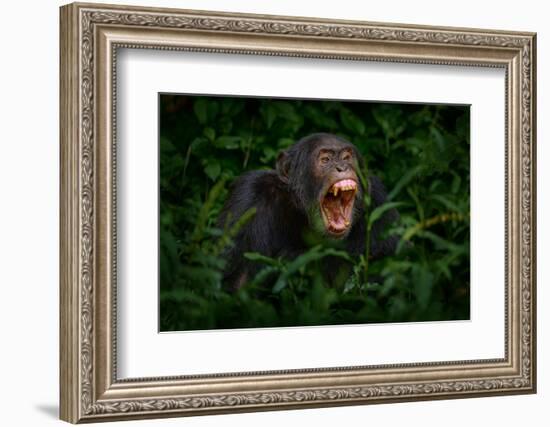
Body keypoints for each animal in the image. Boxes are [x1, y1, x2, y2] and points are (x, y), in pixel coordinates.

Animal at [218, 132, 398, 290]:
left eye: (347, 157)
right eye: (325, 160)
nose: (342, 166)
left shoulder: (377, 197)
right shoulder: (248, 196)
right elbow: (237, 279)